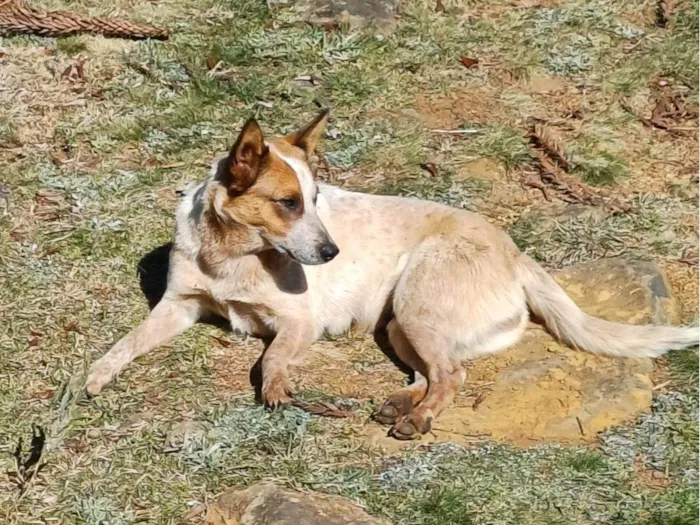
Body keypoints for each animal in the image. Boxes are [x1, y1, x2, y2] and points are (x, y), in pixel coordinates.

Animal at [87, 112, 700, 440]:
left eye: (316, 199)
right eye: (288, 202)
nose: (331, 251)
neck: (230, 256)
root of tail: (517, 254)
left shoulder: (299, 323)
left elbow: (271, 357)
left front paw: (277, 384)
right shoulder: (179, 304)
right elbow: (128, 341)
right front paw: (96, 373)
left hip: (414, 306)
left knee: (452, 375)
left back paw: (418, 417)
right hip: (399, 325)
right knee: (433, 371)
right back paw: (401, 404)